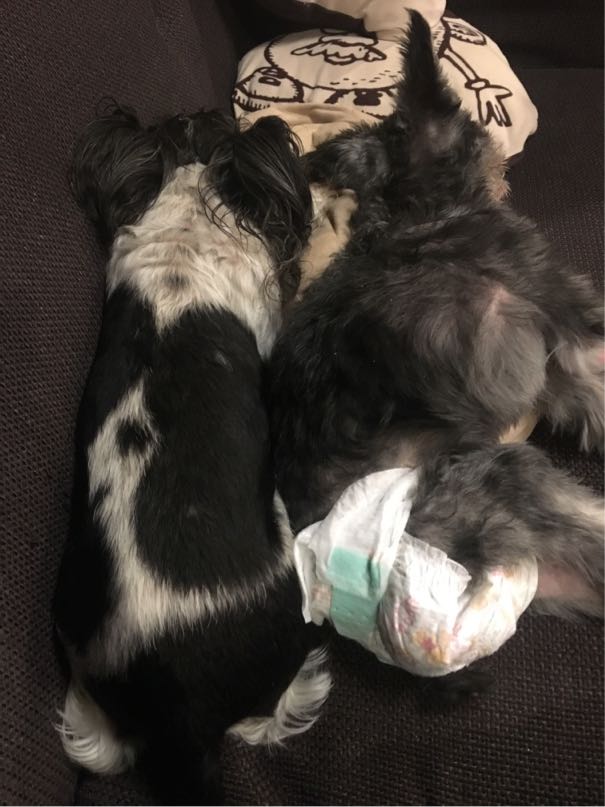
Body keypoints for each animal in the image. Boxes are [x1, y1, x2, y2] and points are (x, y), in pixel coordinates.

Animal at [269, 11, 604, 626]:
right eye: (471, 125)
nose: (501, 162)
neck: (422, 214)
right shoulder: (566, 323)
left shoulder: (561, 366)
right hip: (500, 478)